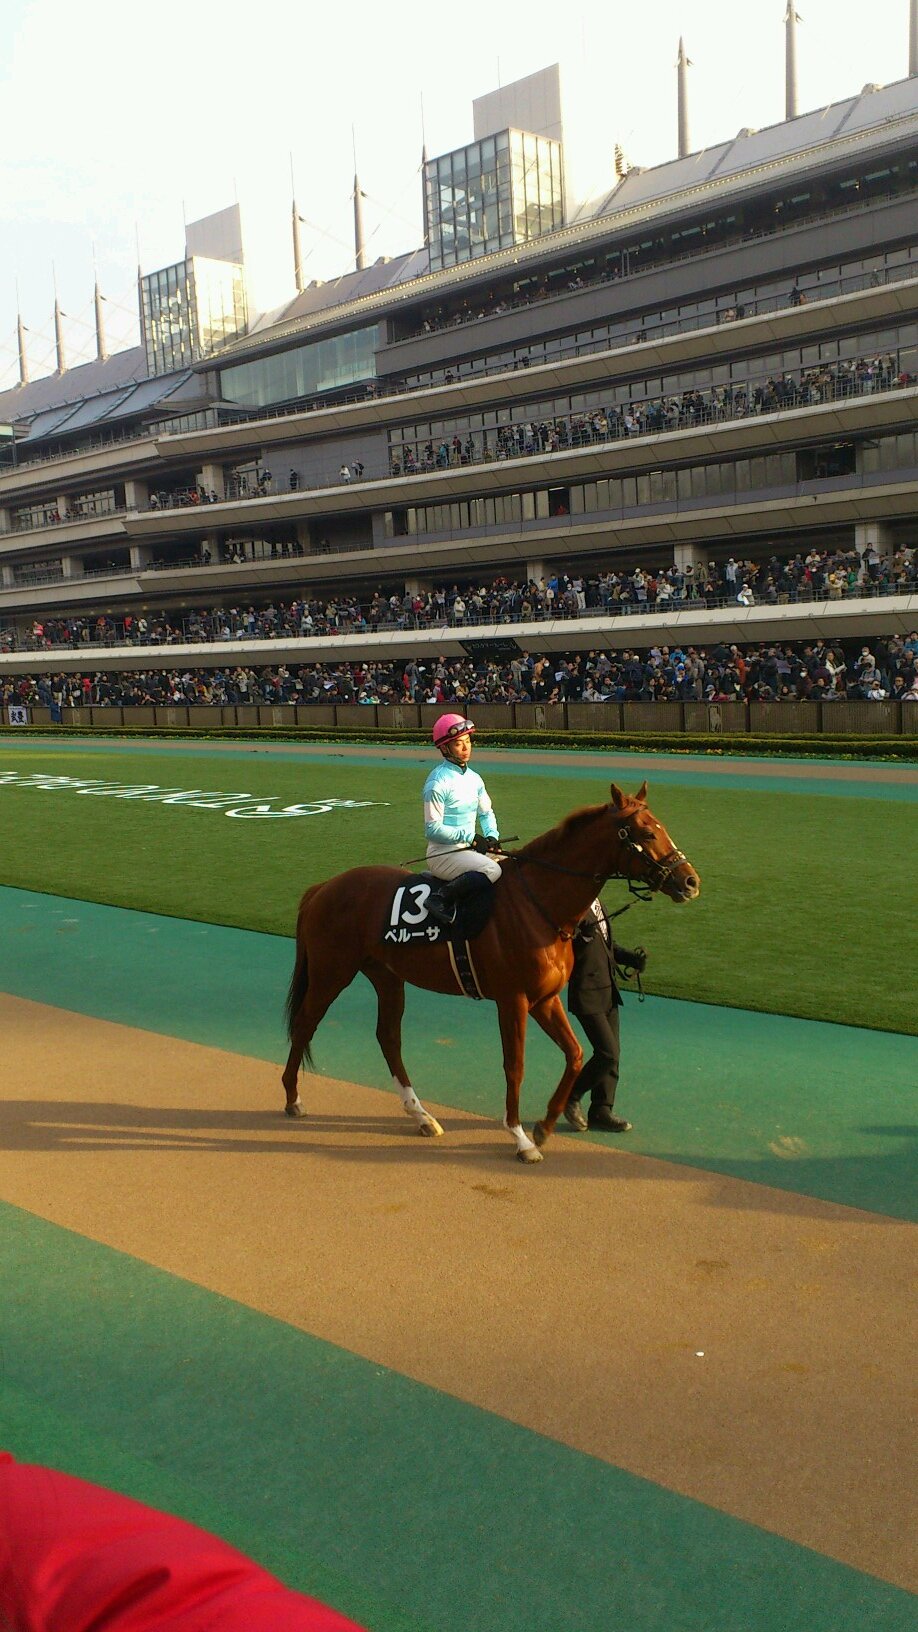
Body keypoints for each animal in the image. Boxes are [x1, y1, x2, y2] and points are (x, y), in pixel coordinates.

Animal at [282, 780, 695, 1155]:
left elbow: (576, 1054)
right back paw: (292, 1098)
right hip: (332, 972)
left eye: (661, 826)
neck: (539, 903)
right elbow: (515, 1064)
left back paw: (422, 1116)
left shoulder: (544, 999)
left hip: (386, 976)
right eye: (646, 832)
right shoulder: (513, 999)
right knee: (305, 1023)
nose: (690, 881)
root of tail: (323, 887)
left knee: (388, 1038)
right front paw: (520, 1137)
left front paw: (546, 1125)